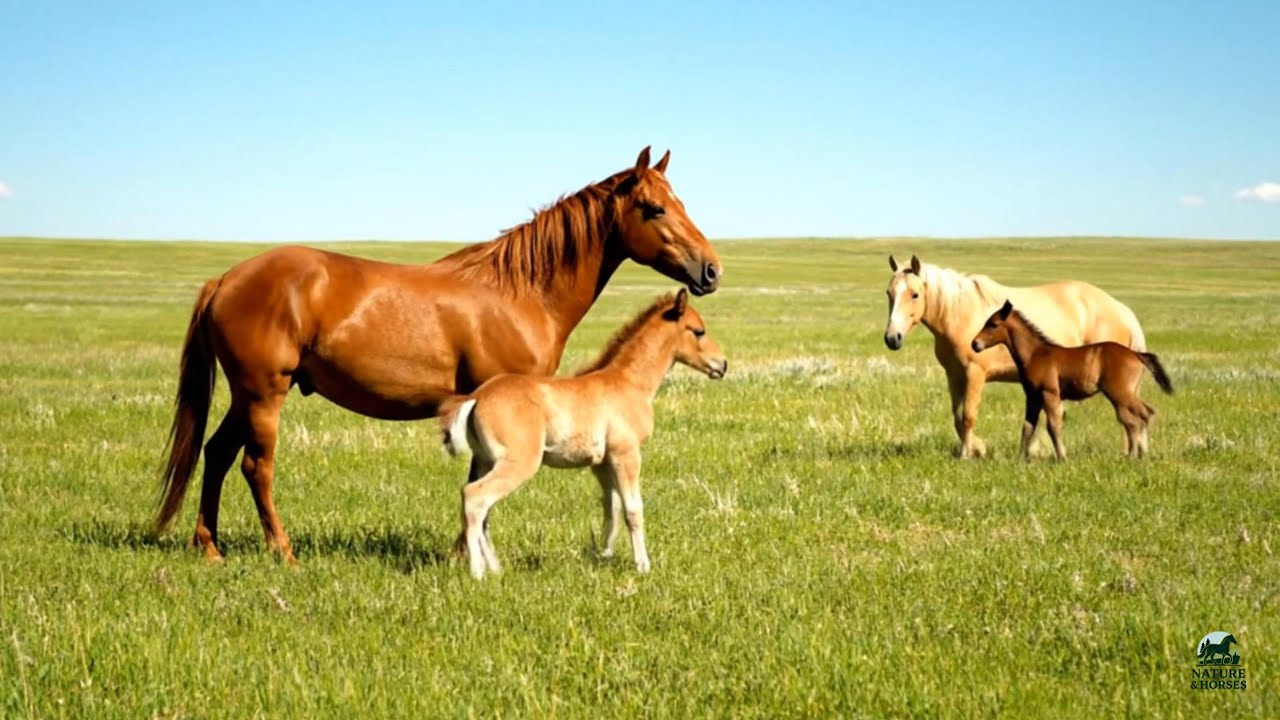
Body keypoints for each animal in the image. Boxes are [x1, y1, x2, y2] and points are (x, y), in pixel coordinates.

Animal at [437, 289, 726, 579]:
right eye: (698, 331)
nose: (722, 365)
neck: (629, 382)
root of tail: (477, 396)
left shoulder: (602, 464)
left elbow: (612, 507)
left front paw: (604, 556)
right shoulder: (627, 455)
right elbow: (633, 509)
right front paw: (643, 565)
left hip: (486, 462)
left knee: (482, 508)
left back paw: (495, 568)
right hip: (518, 463)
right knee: (474, 497)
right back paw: (478, 572)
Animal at [883, 254, 1147, 458]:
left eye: (915, 294)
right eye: (889, 293)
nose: (892, 338)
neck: (961, 315)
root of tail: (1122, 311)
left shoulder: (975, 374)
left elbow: (968, 416)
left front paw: (967, 454)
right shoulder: (954, 376)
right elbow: (957, 418)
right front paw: (976, 448)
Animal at [971, 300, 1174, 460]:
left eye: (993, 324)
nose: (975, 344)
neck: (1036, 354)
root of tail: (1136, 354)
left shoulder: (1049, 393)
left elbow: (1053, 426)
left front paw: (1062, 457)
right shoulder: (1033, 397)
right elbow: (1027, 427)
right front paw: (1020, 459)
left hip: (1119, 393)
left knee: (1138, 418)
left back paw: (1136, 455)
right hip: (1127, 393)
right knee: (1140, 416)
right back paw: (1139, 454)